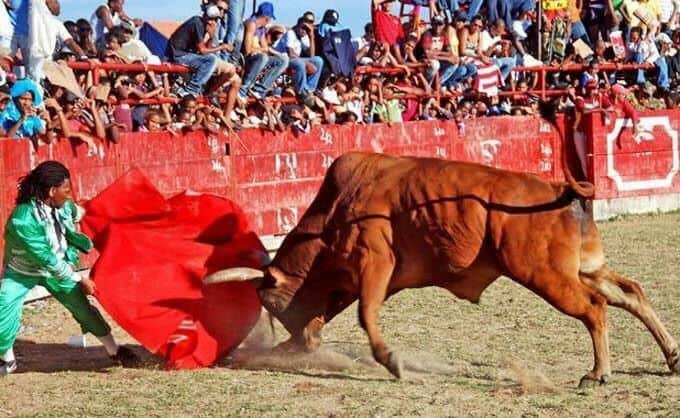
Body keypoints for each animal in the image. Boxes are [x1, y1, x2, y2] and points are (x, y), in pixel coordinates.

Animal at [207, 152, 680, 386]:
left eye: (272, 302)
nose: (297, 340)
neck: (336, 209)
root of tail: (558, 186)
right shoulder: (359, 279)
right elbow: (343, 309)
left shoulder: (374, 263)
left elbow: (365, 314)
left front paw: (393, 362)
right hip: (585, 267)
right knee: (629, 293)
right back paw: (671, 357)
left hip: (546, 276)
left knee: (595, 308)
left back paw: (599, 373)